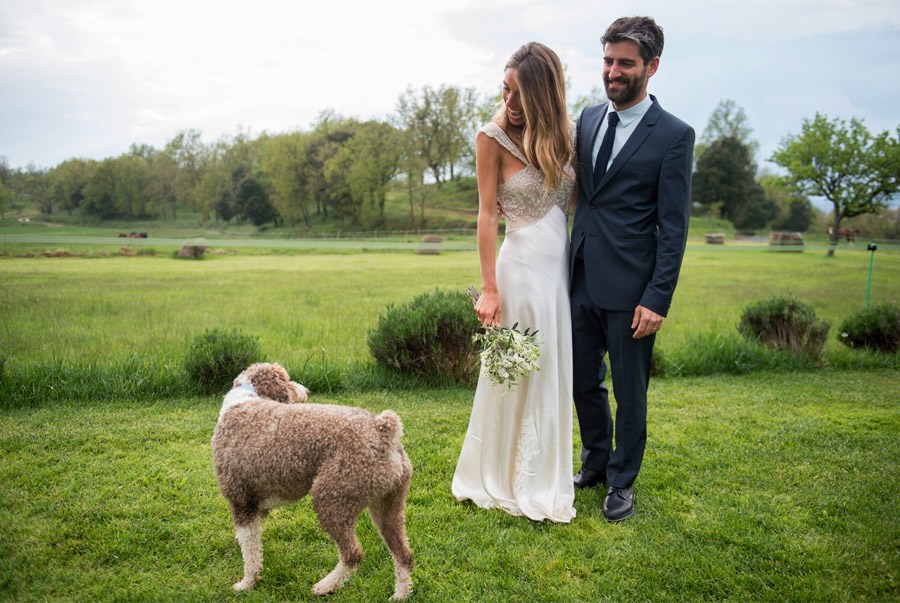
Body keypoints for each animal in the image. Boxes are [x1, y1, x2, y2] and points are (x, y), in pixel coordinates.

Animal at [213, 364, 414, 600]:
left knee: (353, 554)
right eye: (288, 380)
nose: (305, 390)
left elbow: (250, 552)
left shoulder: (241, 503)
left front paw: (247, 583)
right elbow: (253, 544)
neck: (245, 397)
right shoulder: (256, 507)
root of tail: (383, 428)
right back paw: (400, 595)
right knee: (404, 554)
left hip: (332, 499)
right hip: (389, 506)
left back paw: (326, 586)